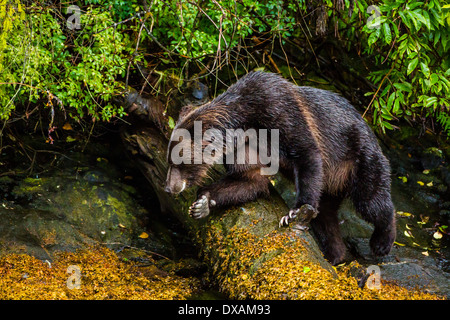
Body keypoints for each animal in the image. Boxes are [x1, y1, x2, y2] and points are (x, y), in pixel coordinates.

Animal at [164, 71, 394, 264]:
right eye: (169, 160)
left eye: (177, 160)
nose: (168, 187)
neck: (243, 119)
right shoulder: (246, 144)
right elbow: (250, 179)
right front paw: (202, 204)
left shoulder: (279, 110)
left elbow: (306, 152)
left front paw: (293, 212)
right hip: (332, 183)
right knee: (326, 215)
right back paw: (335, 254)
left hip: (358, 157)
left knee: (371, 200)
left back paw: (382, 242)